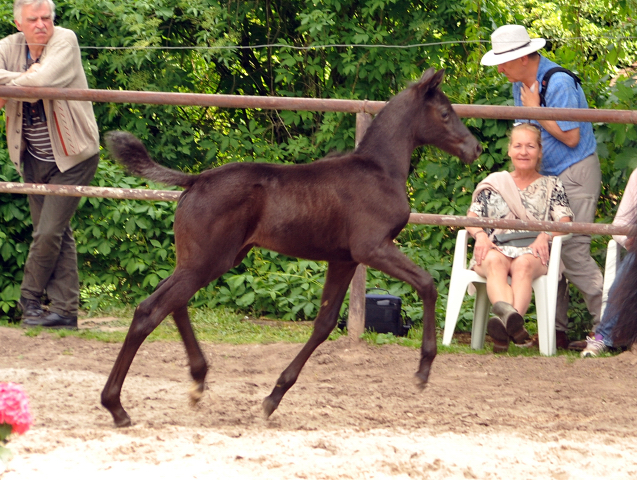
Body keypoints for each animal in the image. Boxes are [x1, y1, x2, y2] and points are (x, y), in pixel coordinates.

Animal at [102, 67, 480, 428]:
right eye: (445, 113)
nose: (474, 148)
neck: (381, 170)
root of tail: (196, 179)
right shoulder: (372, 248)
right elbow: (427, 284)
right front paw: (423, 370)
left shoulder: (343, 260)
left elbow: (324, 323)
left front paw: (273, 397)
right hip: (207, 261)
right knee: (150, 310)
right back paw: (116, 407)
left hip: (205, 260)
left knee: (172, 304)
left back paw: (196, 382)